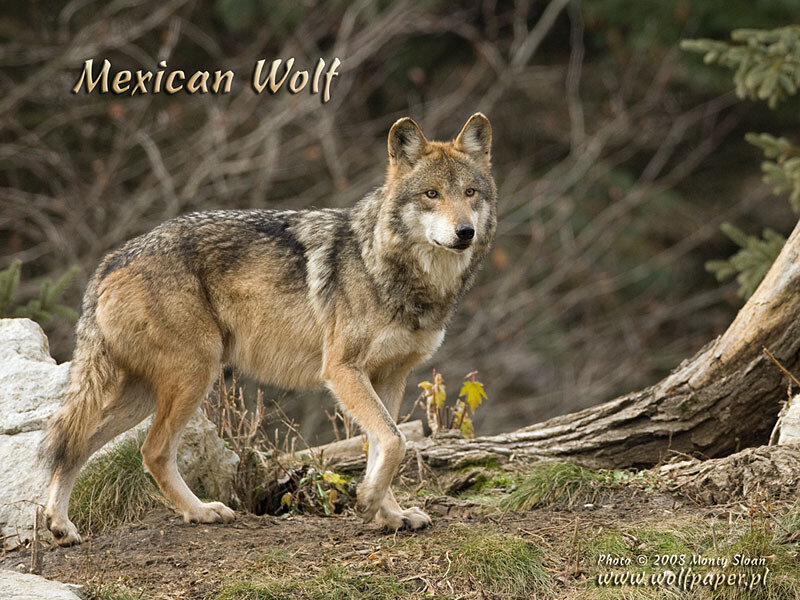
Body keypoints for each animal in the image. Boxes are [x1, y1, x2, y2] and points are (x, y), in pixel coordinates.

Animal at [41, 113, 497, 546]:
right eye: (431, 194)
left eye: (470, 193)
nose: (465, 232)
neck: (386, 265)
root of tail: (114, 258)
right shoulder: (343, 370)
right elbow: (395, 441)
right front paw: (369, 503)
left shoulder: (390, 377)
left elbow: (382, 444)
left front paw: (389, 515)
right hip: (193, 377)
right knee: (150, 451)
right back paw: (201, 512)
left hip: (143, 395)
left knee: (74, 446)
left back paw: (61, 527)